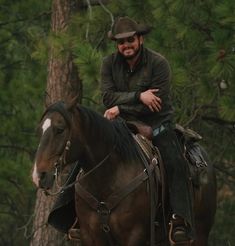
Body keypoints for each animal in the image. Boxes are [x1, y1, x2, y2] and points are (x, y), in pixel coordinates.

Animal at [31, 100, 217, 246]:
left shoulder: (134, 235)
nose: (39, 176)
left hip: (199, 234)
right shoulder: (91, 236)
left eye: (60, 129)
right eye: (40, 130)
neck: (107, 179)